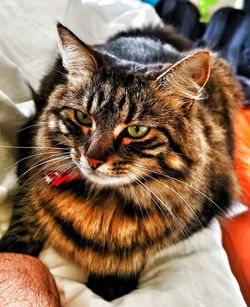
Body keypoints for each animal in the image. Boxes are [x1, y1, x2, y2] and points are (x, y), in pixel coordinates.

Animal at [0, 22, 243, 302]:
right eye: (83, 117)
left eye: (136, 130)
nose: (92, 159)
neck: (101, 203)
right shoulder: (31, 162)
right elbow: (25, 220)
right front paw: (11, 253)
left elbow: (142, 248)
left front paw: (112, 280)